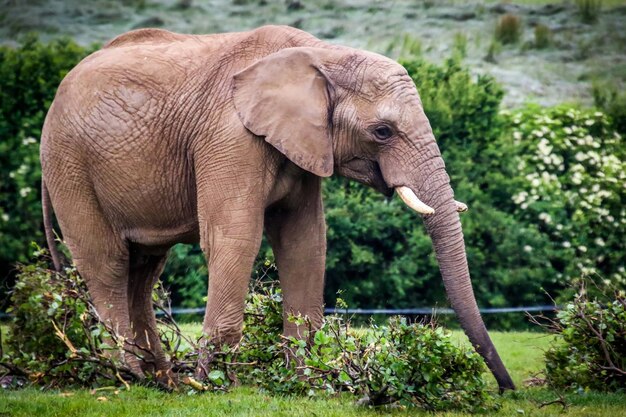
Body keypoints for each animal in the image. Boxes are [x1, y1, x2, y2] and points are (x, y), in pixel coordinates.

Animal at [41, 25, 516, 390]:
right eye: (382, 131)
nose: (506, 389)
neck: (323, 54)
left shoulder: (302, 145)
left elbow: (305, 243)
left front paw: (304, 383)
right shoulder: (230, 137)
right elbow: (234, 238)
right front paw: (215, 384)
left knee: (143, 269)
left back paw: (161, 379)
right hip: (70, 164)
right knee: (107, 262)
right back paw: (129, 375)